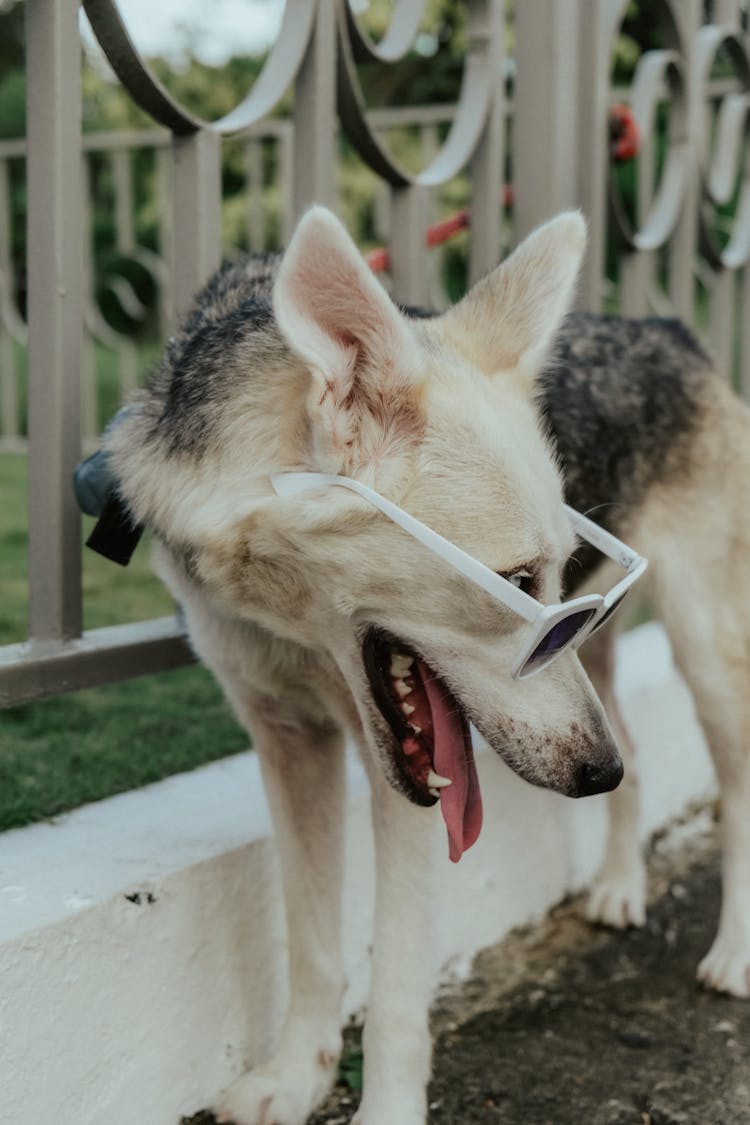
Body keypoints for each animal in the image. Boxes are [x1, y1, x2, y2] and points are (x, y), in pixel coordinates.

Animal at [104, 211, 750, 1125]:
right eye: (521, 582)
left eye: (555, 572)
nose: (597, 773)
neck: (295, 618)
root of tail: (668, 328)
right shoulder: (289, 740)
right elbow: (313, 944)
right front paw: (296, 1076)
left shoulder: (404, 785)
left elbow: (398, 988)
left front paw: (384, 1108)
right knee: (638, 741)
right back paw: (622, 882)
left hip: (706, 648)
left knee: (735, 787)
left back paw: (733, 950)